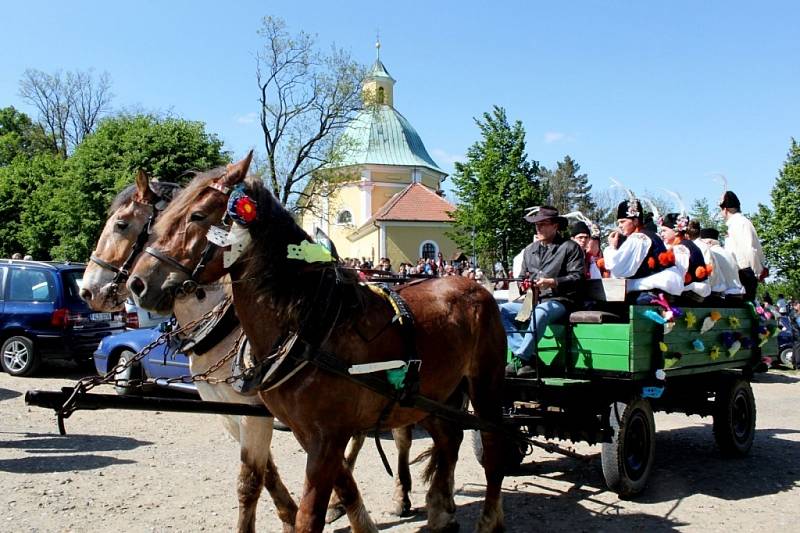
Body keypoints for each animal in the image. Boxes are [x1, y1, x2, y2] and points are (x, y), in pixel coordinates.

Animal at [129, 152, 510, 528]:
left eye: (196, 215)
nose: (138, 284)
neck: (309, 326)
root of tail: (475, 285)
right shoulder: (303, 432)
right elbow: (336, 486)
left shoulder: (325, 437)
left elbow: (309, 513)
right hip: (433, 395)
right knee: (448, 438)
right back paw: (439, 510)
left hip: (485, 385)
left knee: (492, 446)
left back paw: (488, 518)